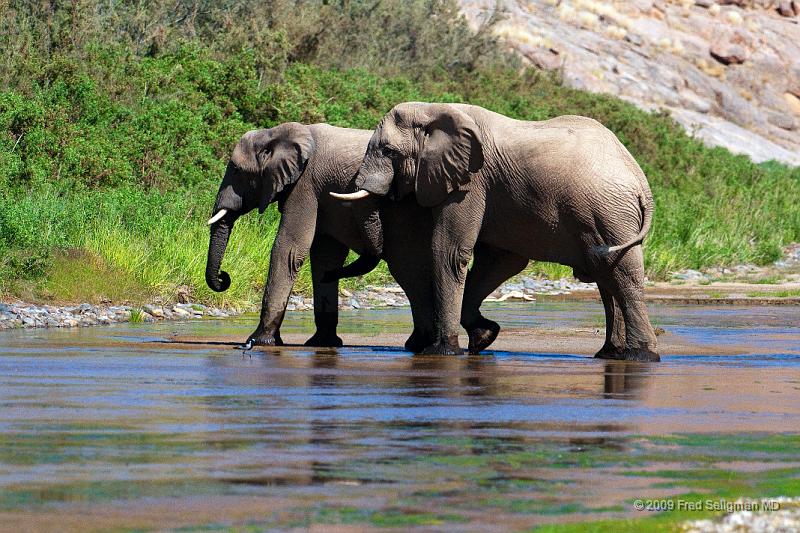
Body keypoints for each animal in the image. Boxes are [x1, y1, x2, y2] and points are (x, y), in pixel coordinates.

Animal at [203, 122, 438, 352]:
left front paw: (260, 340)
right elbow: (325, 256)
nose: (224, 277)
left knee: (407, 269)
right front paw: (322, 342)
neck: (277, 133)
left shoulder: (304, 186)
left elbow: (289, 249)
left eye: (237, 170)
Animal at [334, 103, 660, 362]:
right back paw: (609, 354)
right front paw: (484, 337)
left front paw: (442, 351)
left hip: (608, 213)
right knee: (607, 276)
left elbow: (450, 253)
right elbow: (501, 263)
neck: (434, 110)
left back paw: (641, 355)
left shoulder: (471, 183)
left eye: (388, 151)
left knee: (622, 275)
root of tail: (642, 183)